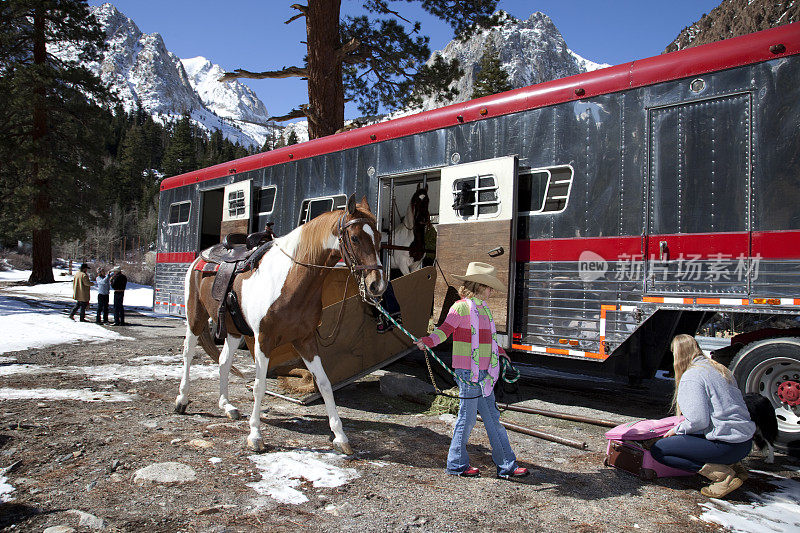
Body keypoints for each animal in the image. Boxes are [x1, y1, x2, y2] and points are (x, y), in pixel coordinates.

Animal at [175, 195, 388, 454]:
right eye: (355, 238)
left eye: (378, 236)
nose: (377, 285)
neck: (292, 278)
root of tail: (201, 255)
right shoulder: (263, 340)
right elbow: (259, 386)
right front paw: (255, 435)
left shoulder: (305, 340)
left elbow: (325, 383)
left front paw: (340, 436)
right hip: (195, 318)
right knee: (188, 354)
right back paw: (182, 400)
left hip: (234, 331)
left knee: (224, 361)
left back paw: (227, 406)